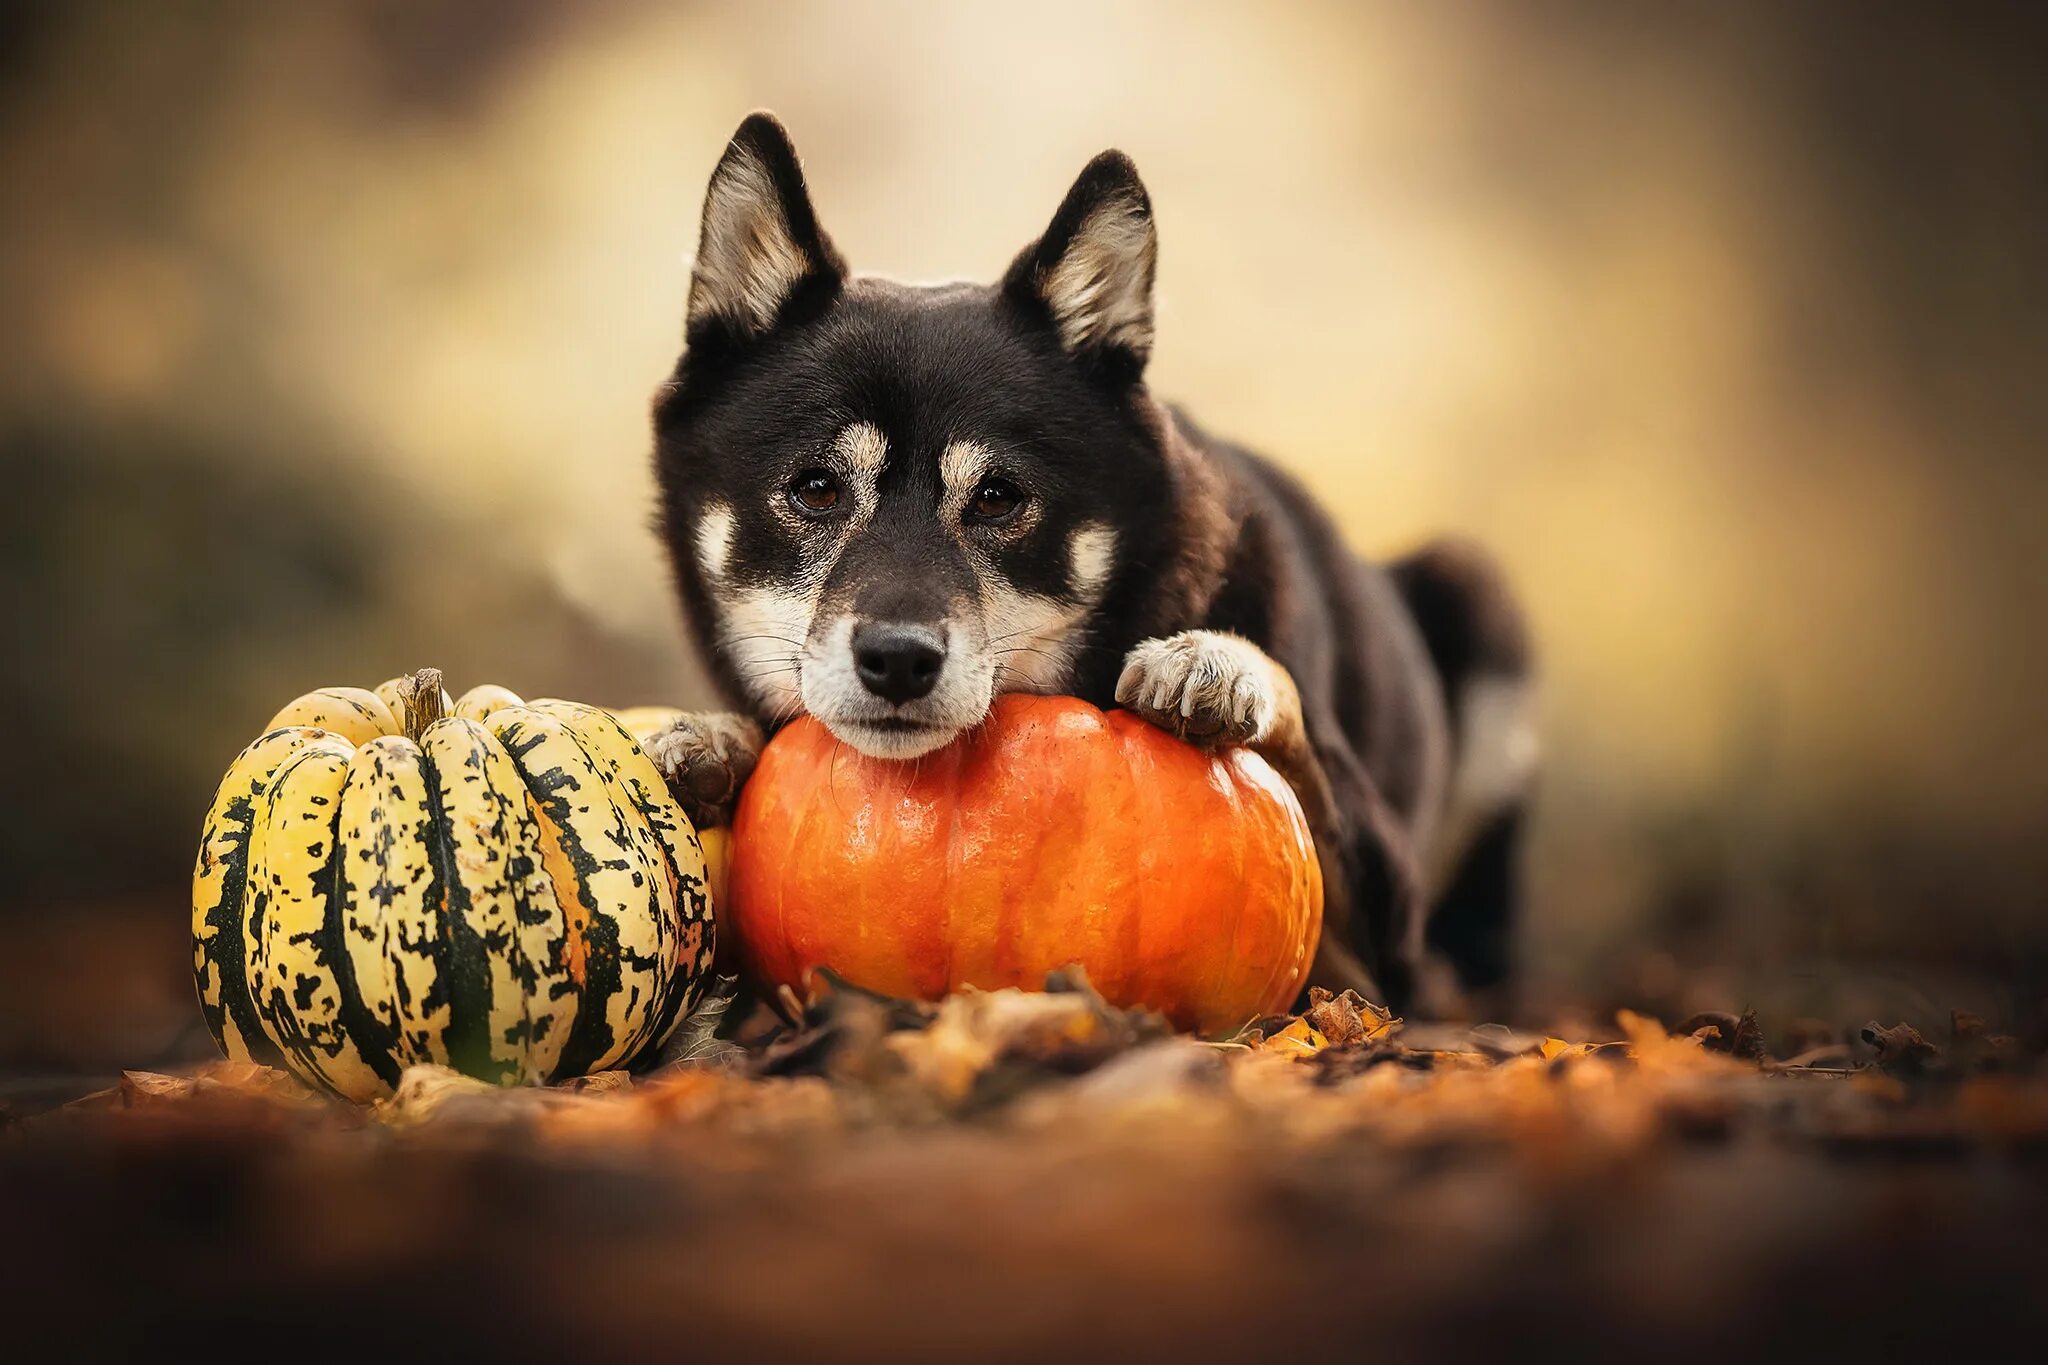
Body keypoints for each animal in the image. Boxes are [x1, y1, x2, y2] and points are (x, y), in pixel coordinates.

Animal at [647, 114, 1531, 1015]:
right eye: (817, 488)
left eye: (998, 497)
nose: (897, 660)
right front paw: (714, 741)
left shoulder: (1381, 927)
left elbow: (1294, 734)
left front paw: (1216, 665)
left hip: (1475, 593)